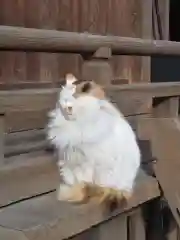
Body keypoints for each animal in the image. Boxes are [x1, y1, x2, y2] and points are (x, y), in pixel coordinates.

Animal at [46, 73, 141, 206]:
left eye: (75, 96)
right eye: (62, 97)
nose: (65, 104)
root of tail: (125, 189)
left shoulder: (88, 161)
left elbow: (85, 181)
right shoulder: (72, 158)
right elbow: (77, 179)